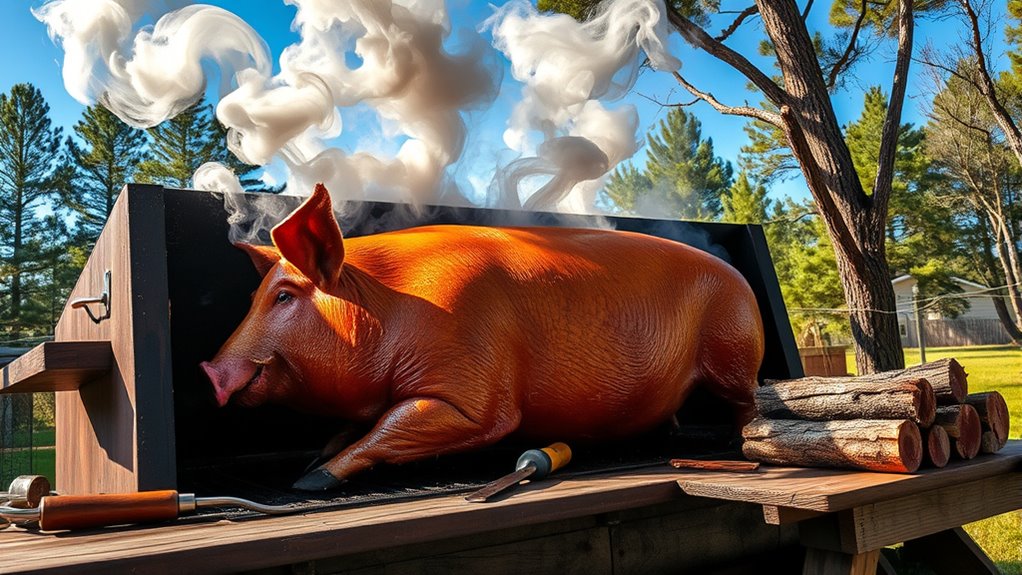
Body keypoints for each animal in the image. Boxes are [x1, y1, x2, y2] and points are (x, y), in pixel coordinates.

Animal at [201, 184, 764, 491]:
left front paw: (310, 481)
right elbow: (350, 429)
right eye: (255, 297)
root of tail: (738, 275)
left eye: (284, 297)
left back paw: (741, 442)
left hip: (734, 354)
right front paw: (312, 461)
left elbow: (393, 425)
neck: (388, 308)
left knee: (746, 399)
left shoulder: (473, 392)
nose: (209, 368)